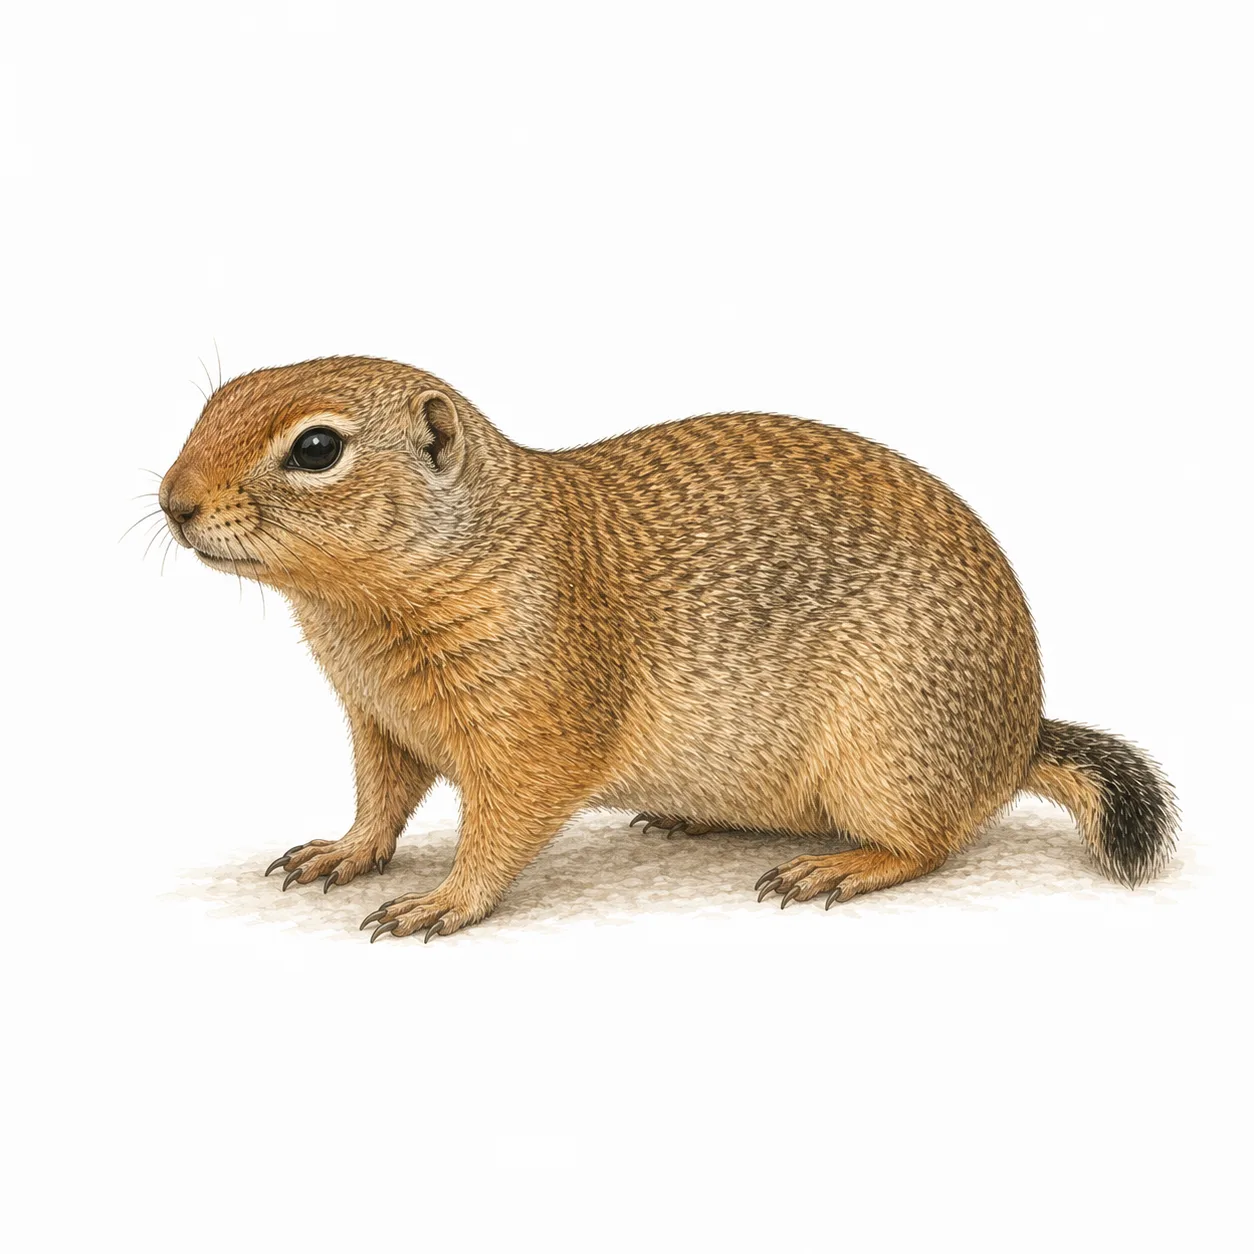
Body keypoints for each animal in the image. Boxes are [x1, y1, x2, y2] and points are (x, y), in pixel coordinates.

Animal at [158, 356, 1178, 940]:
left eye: (316, 448)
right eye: (209, 405)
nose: (173, 502)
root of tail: (1019, 737)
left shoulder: (536, 719)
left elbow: (504, 822)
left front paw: (444, 901)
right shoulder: (377, 718)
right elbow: (380, 799)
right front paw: (340, 852)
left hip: (894, 749)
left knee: (931, 842)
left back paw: (838, 868)